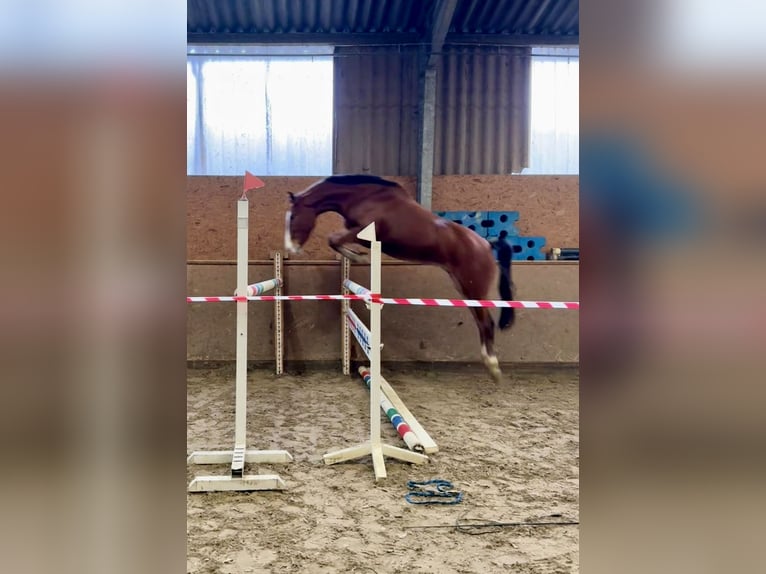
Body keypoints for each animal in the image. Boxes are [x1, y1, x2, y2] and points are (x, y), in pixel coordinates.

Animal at [284, 174, 514, 381]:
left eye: (293, 217)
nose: (291, 248)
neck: (364, 197)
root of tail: (486, 244)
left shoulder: (363, 232)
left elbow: (332, 239)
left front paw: (357, 256)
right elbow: (334, 240)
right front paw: (357, 255)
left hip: (473, 288)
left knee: (487, 322)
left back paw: (493, 367)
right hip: (464, 289)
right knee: (481, 321)